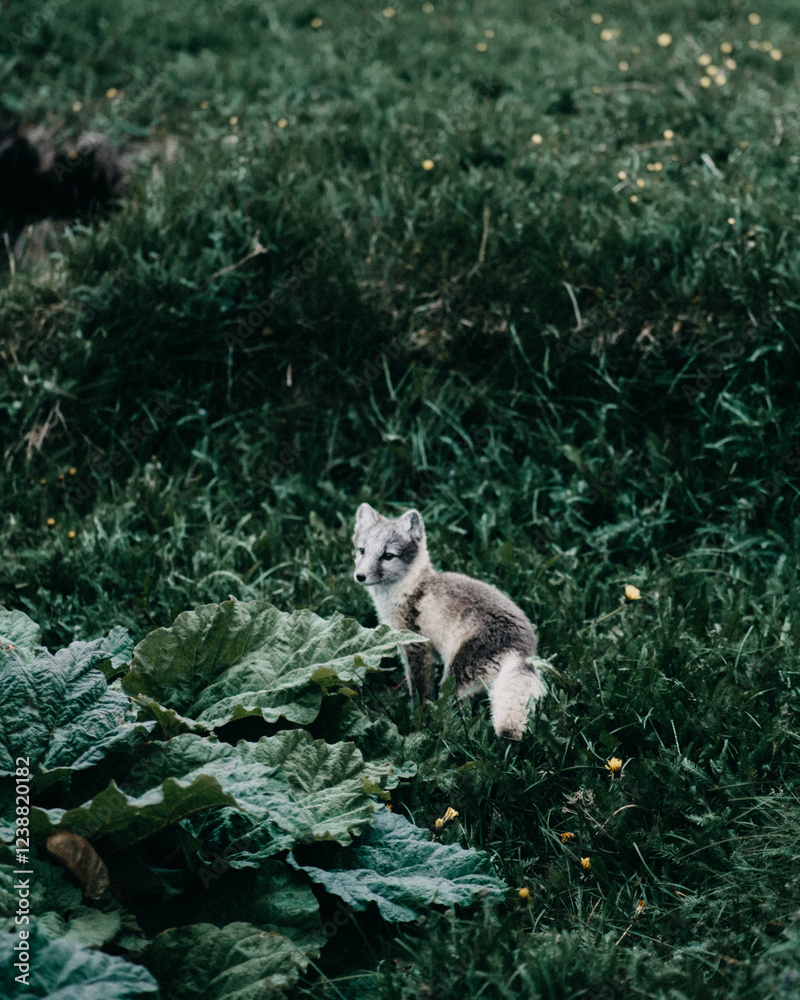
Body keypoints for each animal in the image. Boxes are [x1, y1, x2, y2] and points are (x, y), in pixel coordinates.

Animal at [353, 503, 548, 739]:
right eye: (362, 550)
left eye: (388, 556)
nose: (360, 576)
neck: (410, 589)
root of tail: (523, 650)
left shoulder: (416, 646)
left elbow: (420, 692)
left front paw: (417, 719)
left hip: (454, 676)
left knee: (454, 714)